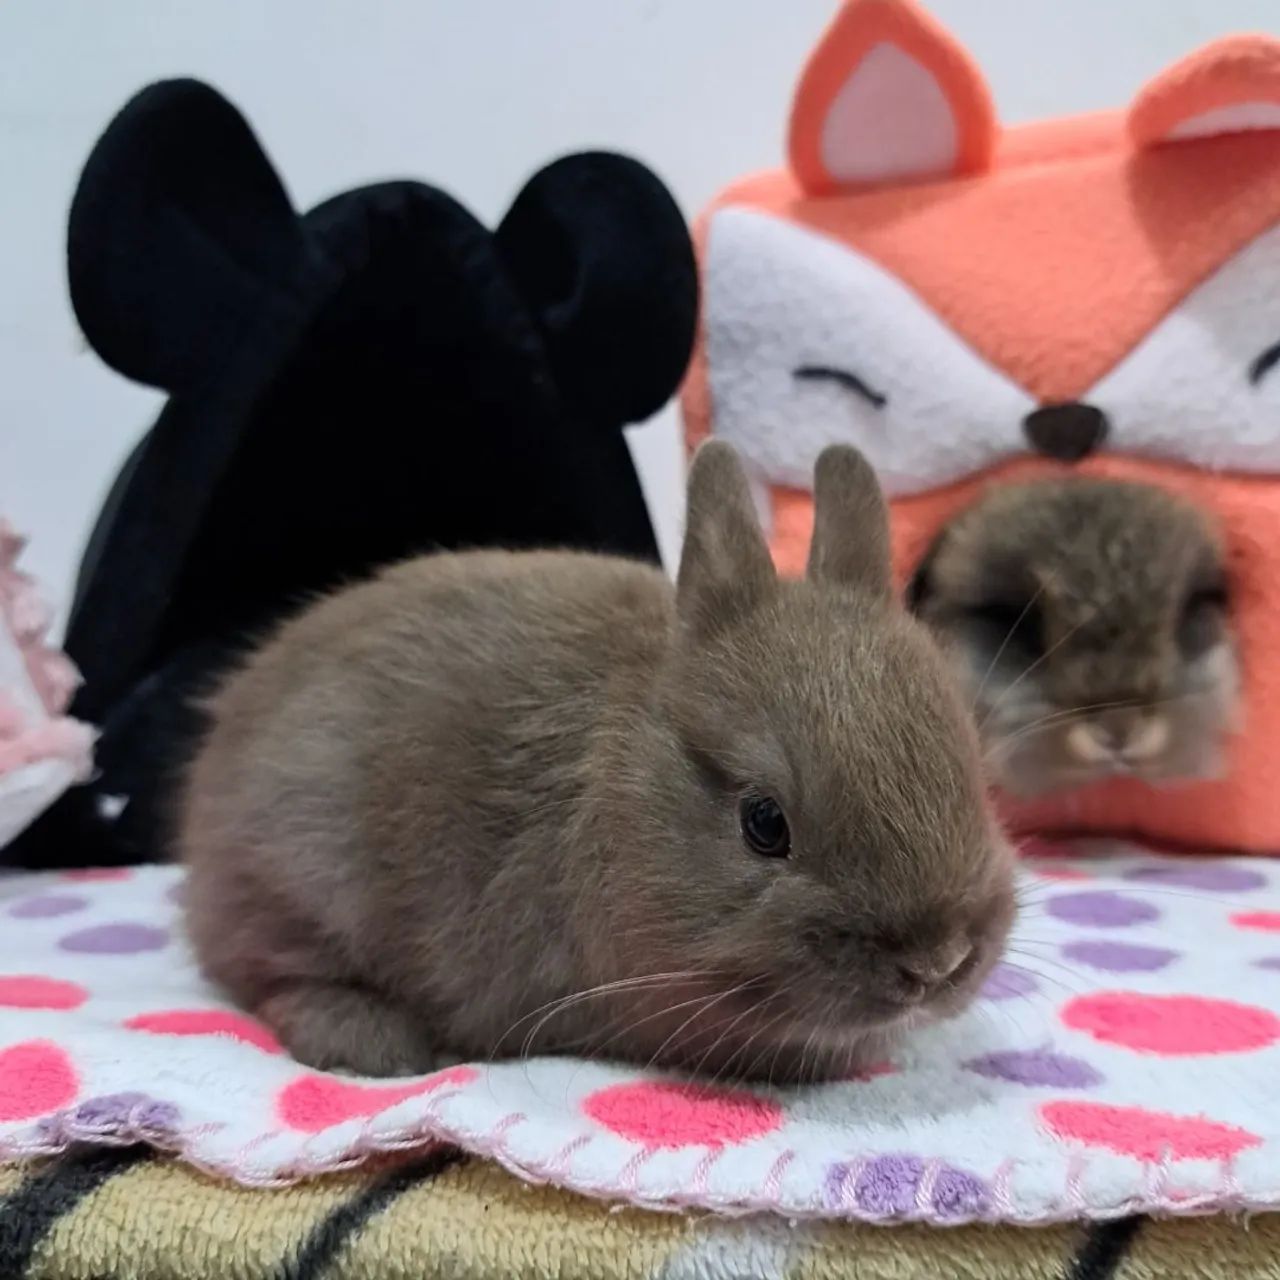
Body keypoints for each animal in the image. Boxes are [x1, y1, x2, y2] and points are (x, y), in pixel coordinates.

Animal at [180, 441, 1014, 1083]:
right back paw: (376, 1045)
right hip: (300, 871)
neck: (623, 788)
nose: (938, 963)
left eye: (975, 776)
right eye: (764, 824)